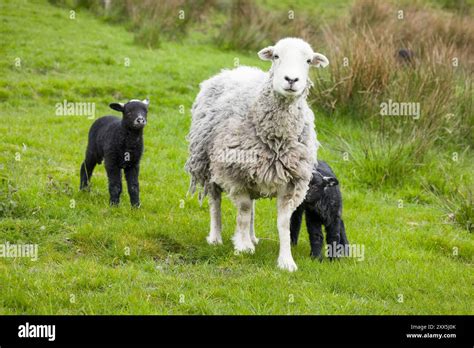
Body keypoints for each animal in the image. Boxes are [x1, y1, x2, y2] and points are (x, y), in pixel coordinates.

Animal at [185, 38, 330, 272]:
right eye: (276, 56)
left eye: (308, 61)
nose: (291, 80)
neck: (276, 138)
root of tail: (236, 69)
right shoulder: (234, 172)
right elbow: (243, 211)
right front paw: (243, 247)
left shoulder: (291, 181)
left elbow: (283, 223)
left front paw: (286, 261)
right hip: (208, 163)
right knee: (216, 201)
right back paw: (216, 237)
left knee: (252, 205)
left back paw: (252, 237)